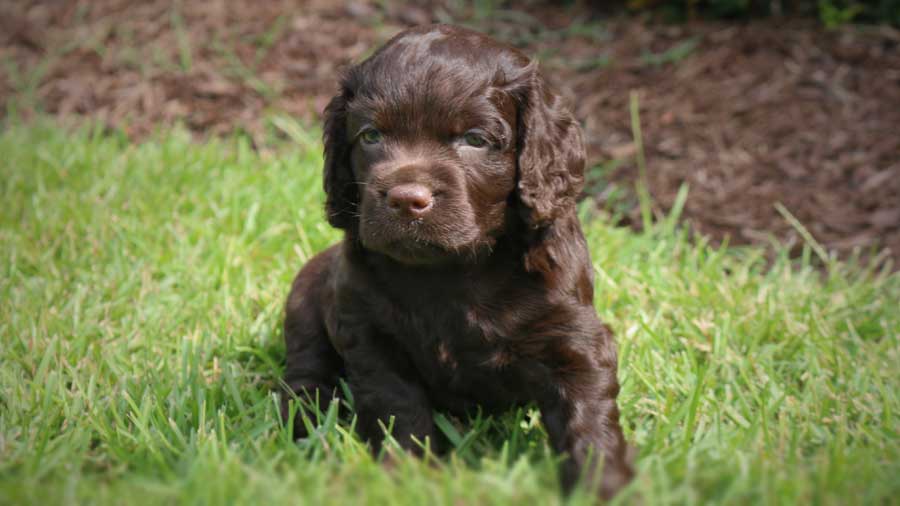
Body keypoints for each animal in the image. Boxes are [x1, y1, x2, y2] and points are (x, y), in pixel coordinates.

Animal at [282, 22, 632, 498]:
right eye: (371, 136)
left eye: (474, 140)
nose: (406, 200)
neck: (452, 269)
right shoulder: (368, 332)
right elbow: (397, 406)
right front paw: (408, 474)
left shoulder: (574, 339)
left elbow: (588, 421)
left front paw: (604, 487)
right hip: (306, 298)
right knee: (305, 373)